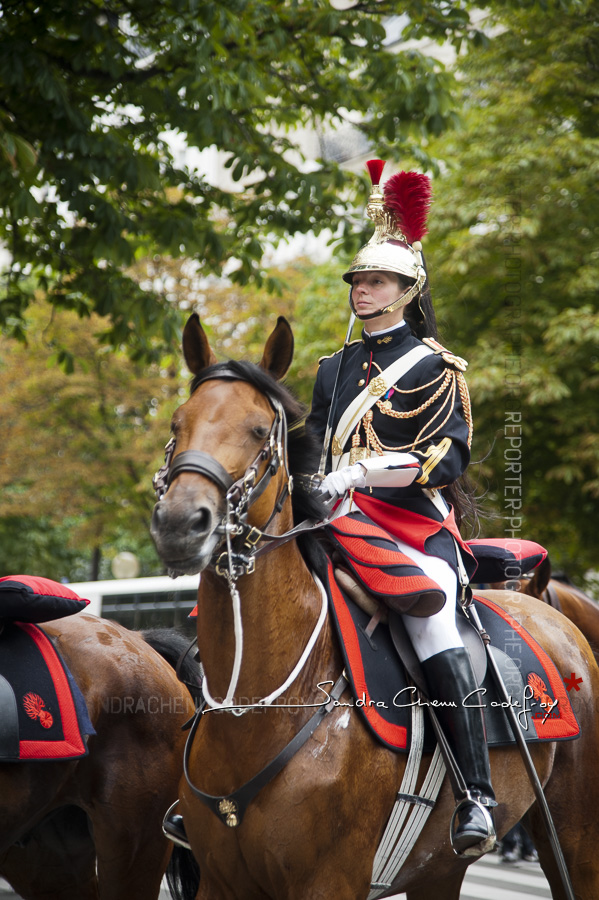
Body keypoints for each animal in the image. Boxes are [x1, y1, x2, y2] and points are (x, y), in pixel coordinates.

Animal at [151, 314, 599, 900]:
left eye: (258, 430)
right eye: (177, 423)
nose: (181, 524)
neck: (260, 707)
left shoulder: (331, 882)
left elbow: (436, 451)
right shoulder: (222, 883)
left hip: (574, 838)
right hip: (439, 868)